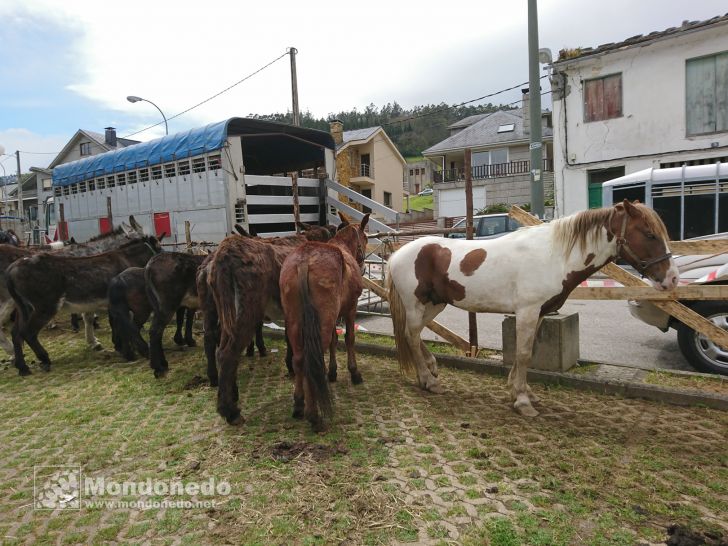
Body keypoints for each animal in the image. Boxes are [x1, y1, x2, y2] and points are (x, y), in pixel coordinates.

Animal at [6, 235, 161, 374]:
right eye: (159, 248)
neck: (126, 258)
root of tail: (12, 267)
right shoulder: (119, 305)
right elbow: (122, 325)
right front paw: (128, 351)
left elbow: (115, 324)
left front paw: (119, 347)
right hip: (45, 308)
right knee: (28, 333)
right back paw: (44, 359)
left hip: (25, 309)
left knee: (16, 333)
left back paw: (23, 368)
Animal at [205, 221, 336, 420]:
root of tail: (225, 252)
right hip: (247, 312)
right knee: (228, 354)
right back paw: (230, 411)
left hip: (226, 311)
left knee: (220, 351)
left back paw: (229, 396)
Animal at [278, 212, 370, 430]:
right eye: (366, 238)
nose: (362, 264)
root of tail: (304, 260)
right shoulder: (350, 309)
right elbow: (349, 339)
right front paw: (354, 372)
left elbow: (335, 342)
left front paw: (333, 372)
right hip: (324, 320)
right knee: (313, 358)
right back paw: (314, 414)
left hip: (294, 321)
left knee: (299, 359)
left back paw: (299, 403)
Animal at [390, 200, 680, 416]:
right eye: (650, 234)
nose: (672, 279)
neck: (554, 256)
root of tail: (396, 254)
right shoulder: (527, 312)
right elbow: (523, 353)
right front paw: (522, 401)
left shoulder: (539, 313)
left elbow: (527, 353)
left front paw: (522, 392)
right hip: (416, 304)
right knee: (411, 335)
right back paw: (428, 381)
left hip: (435, 304)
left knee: (414, 333)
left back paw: (430, 369)